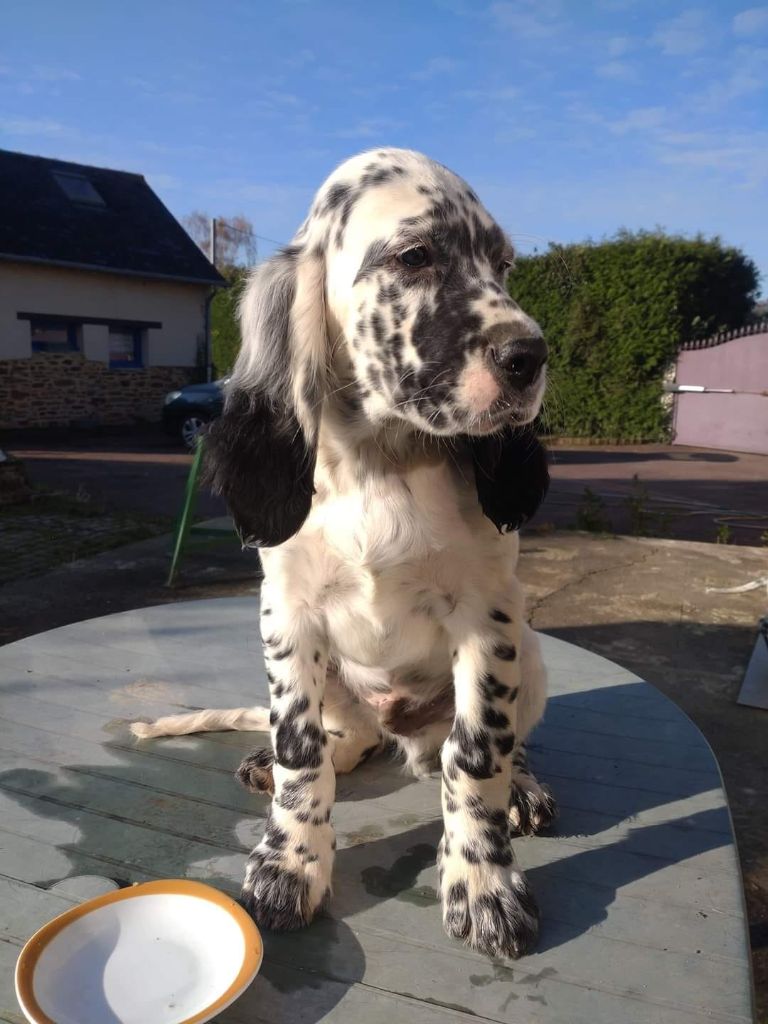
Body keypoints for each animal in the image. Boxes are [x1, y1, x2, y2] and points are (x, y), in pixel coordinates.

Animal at [135, 146, 557, 958]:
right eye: (416, 255)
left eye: (504, 265)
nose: (532, 355)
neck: (382, 460)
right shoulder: (287, 612)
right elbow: (300, 753)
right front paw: (289, 867)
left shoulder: (488, 615)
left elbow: (477, 754)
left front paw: (483, 883)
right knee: (341, 742)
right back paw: (274, 761)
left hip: (529, 651)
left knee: (492, 744)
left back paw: (523, 786)